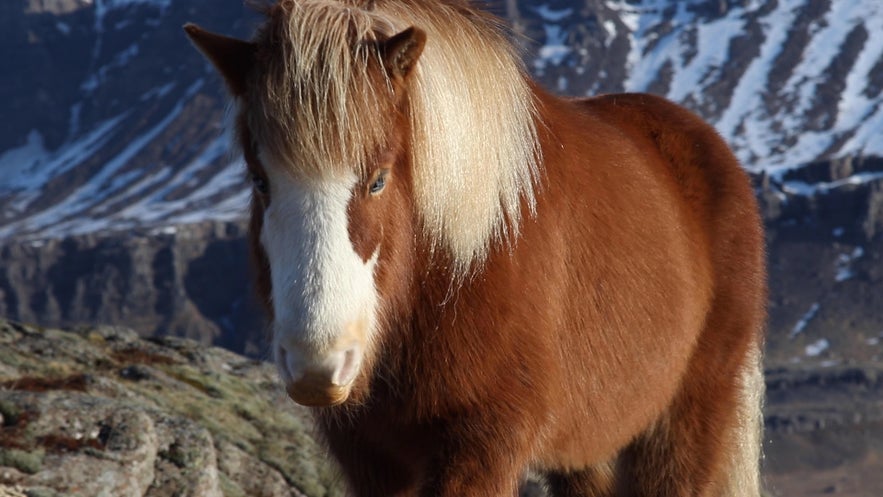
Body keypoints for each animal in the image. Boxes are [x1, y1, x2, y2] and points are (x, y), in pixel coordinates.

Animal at [186, 1, 768, 494]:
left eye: (377, 180)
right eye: (259, 180)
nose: (319, 365)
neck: (447, 277)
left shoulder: (482, 444)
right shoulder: (368, 455)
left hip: (684, 428)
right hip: (590, 452)